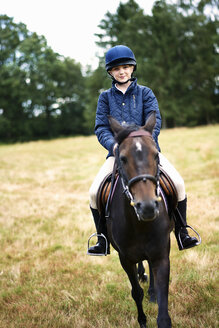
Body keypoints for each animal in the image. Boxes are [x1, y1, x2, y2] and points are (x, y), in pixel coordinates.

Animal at [107, 111, 174, 326]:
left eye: (156, 154)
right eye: (122, 158)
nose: (147, 207)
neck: (139, 224)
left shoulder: (161, 253)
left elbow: (163, 299)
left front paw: (155, 296)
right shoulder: (124, 258)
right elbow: (136, 292)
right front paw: (143, 321)